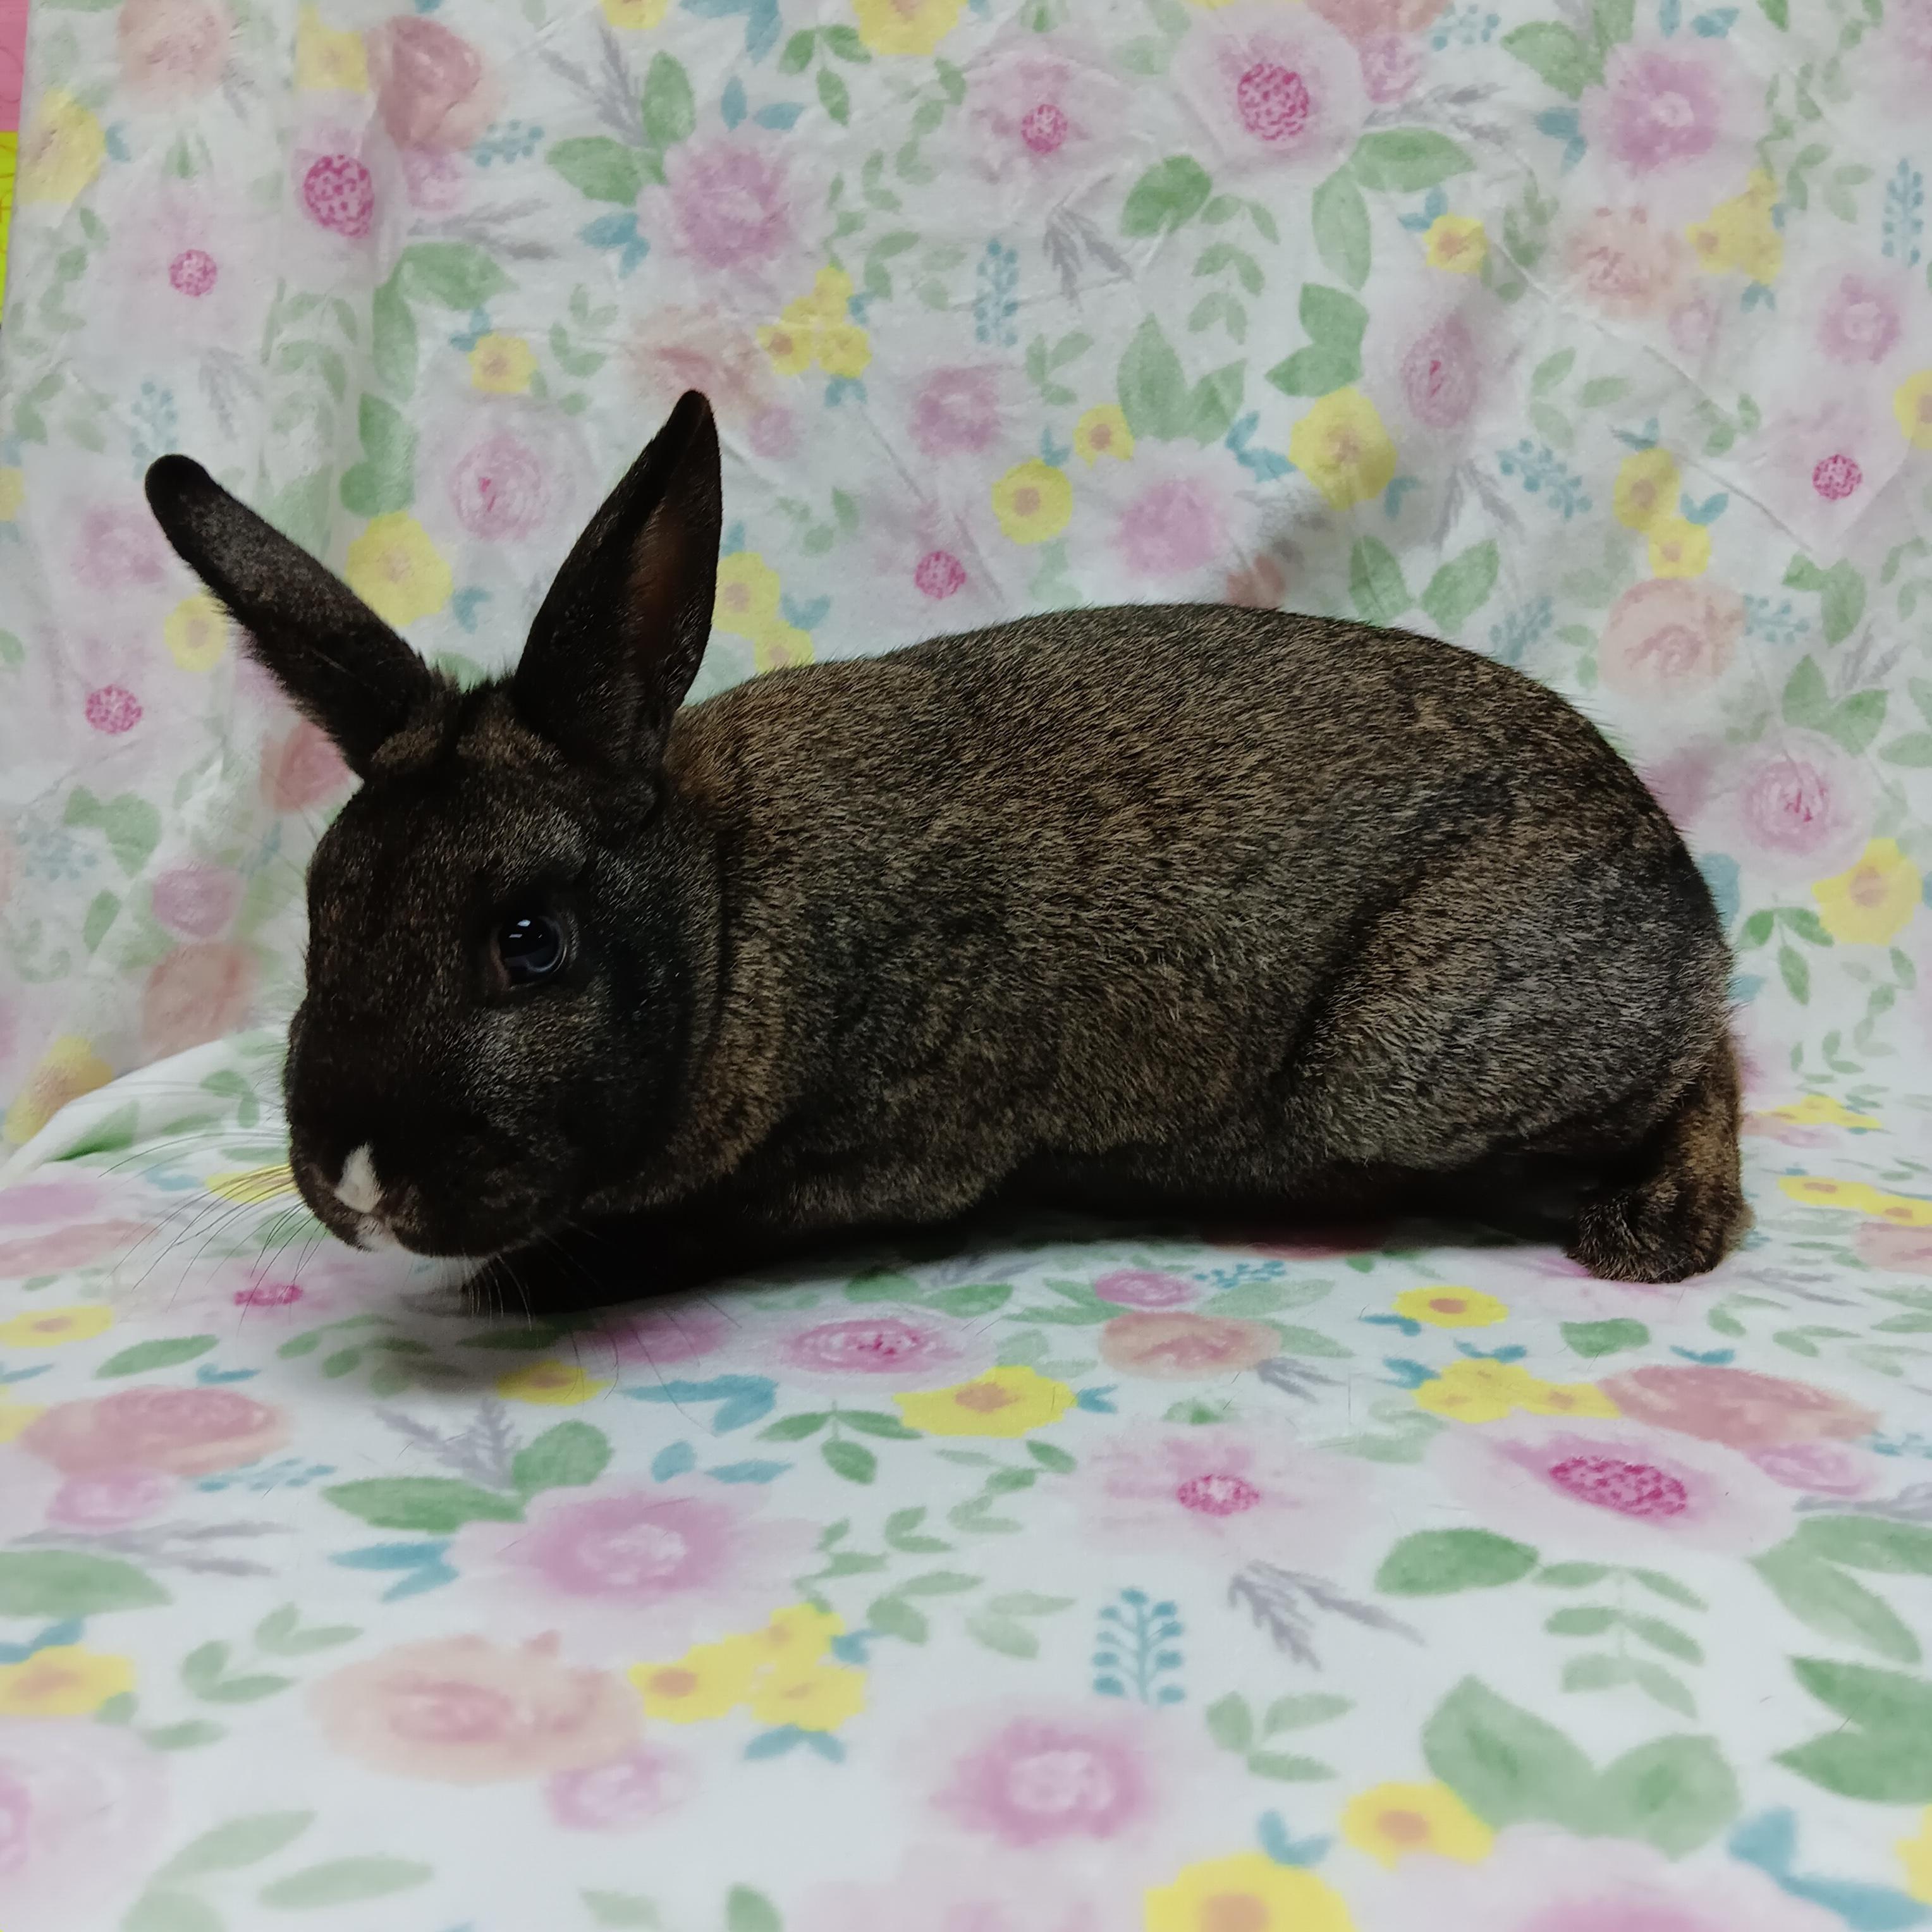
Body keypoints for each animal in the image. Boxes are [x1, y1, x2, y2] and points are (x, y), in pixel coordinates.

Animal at [143, 389, 1747, 1308]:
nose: (351, 1176)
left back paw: (1656, 1224)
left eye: (529, 942)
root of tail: (1685, 906)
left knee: (1700, 1070)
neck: (727, 917)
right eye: (321, 912)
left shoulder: (892, 1149)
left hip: (1412, 1067)